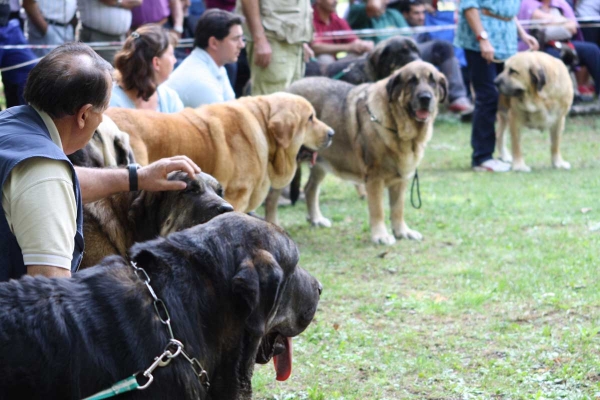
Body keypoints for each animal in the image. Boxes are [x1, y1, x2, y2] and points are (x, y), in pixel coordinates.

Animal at [288, 61, 448, 245]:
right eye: (412, 81)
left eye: (433, 81)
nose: (425, 98)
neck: (397, 125)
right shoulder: (375, 178)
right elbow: (378, 209)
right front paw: (381, 235)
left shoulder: (401, 179)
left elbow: (398, 208)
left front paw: (402, 232)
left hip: (321, 163)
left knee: (310, 189)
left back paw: (316, 219)